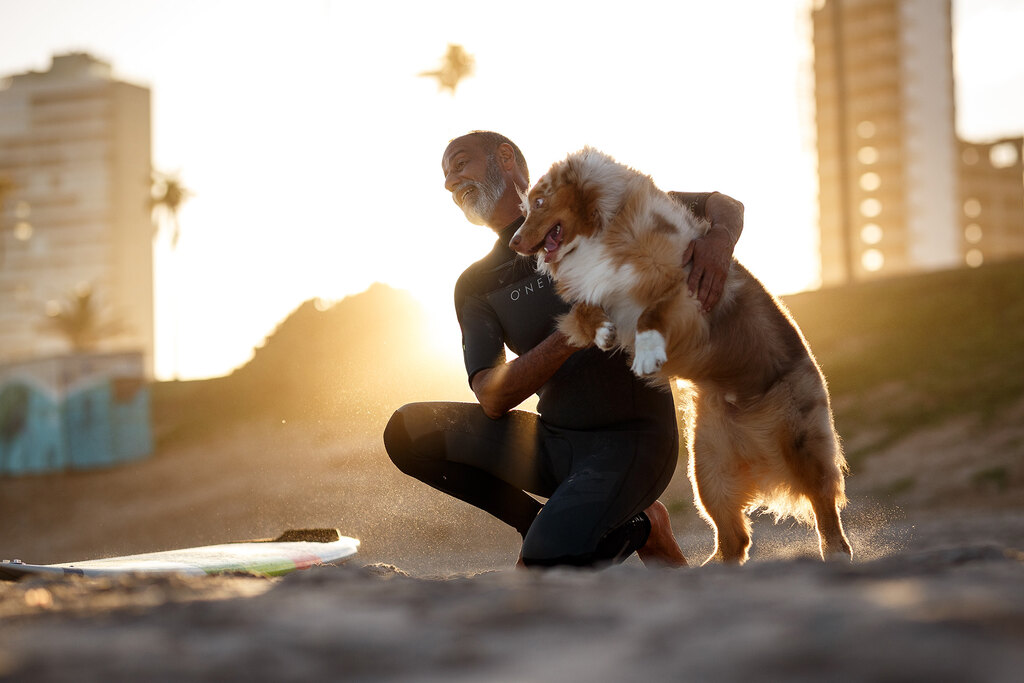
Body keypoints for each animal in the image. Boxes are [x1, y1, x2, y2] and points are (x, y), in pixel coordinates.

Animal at [507, 147, 851, 565]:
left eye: (540, 203)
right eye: (526, 208)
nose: (514, 242)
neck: (604, 228)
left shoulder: (684, 284)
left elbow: (651, 313)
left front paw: (646, 353)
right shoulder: (600, 291)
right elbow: (586, 312)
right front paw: (602, 331)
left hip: (800, 441)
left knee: (822, 501)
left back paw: (836, 550)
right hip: (706, 468)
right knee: (735, 538)